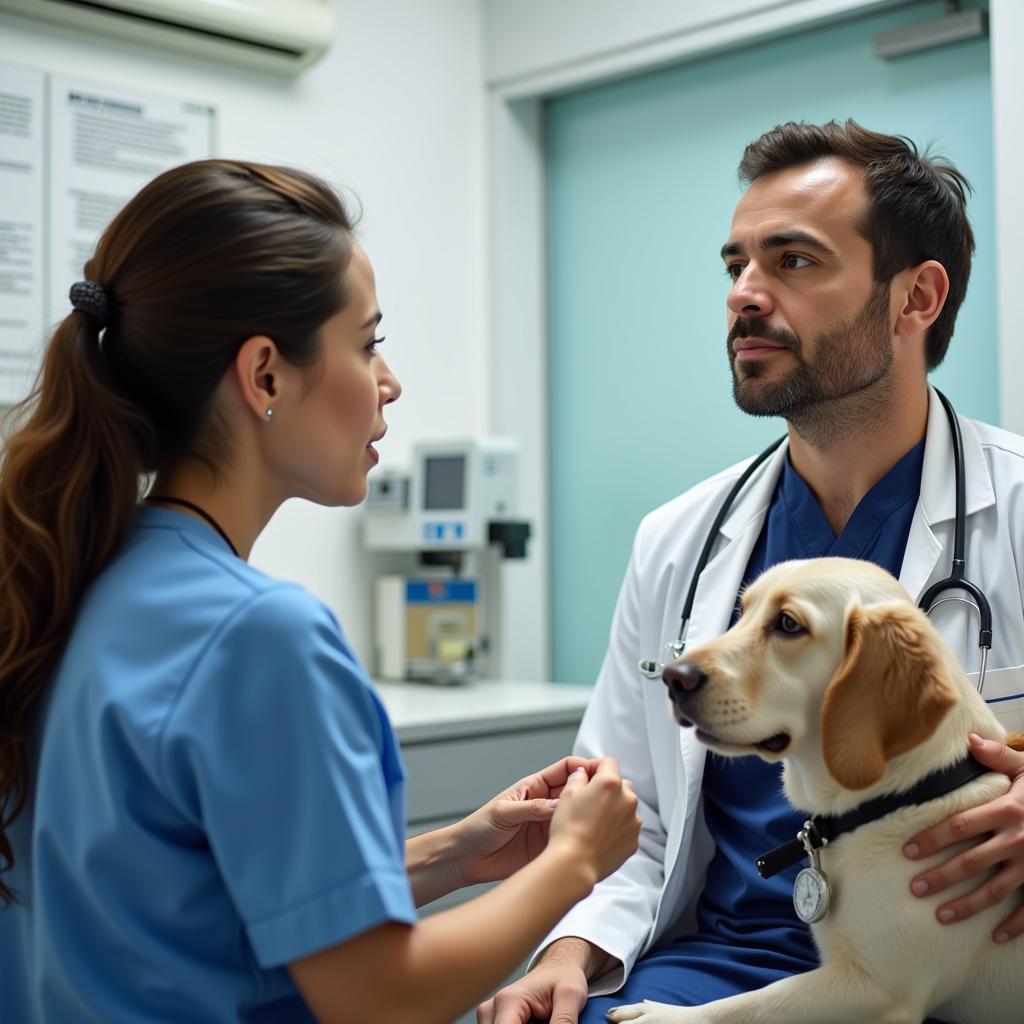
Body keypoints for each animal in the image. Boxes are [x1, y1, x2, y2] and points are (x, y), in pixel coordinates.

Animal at [610, 561, 1019, 1024]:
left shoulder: (880, 990)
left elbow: (754, 1002)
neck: (902, 796)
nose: (672, 677)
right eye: (743, 612)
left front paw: (670, 1014)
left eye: (788, 624)